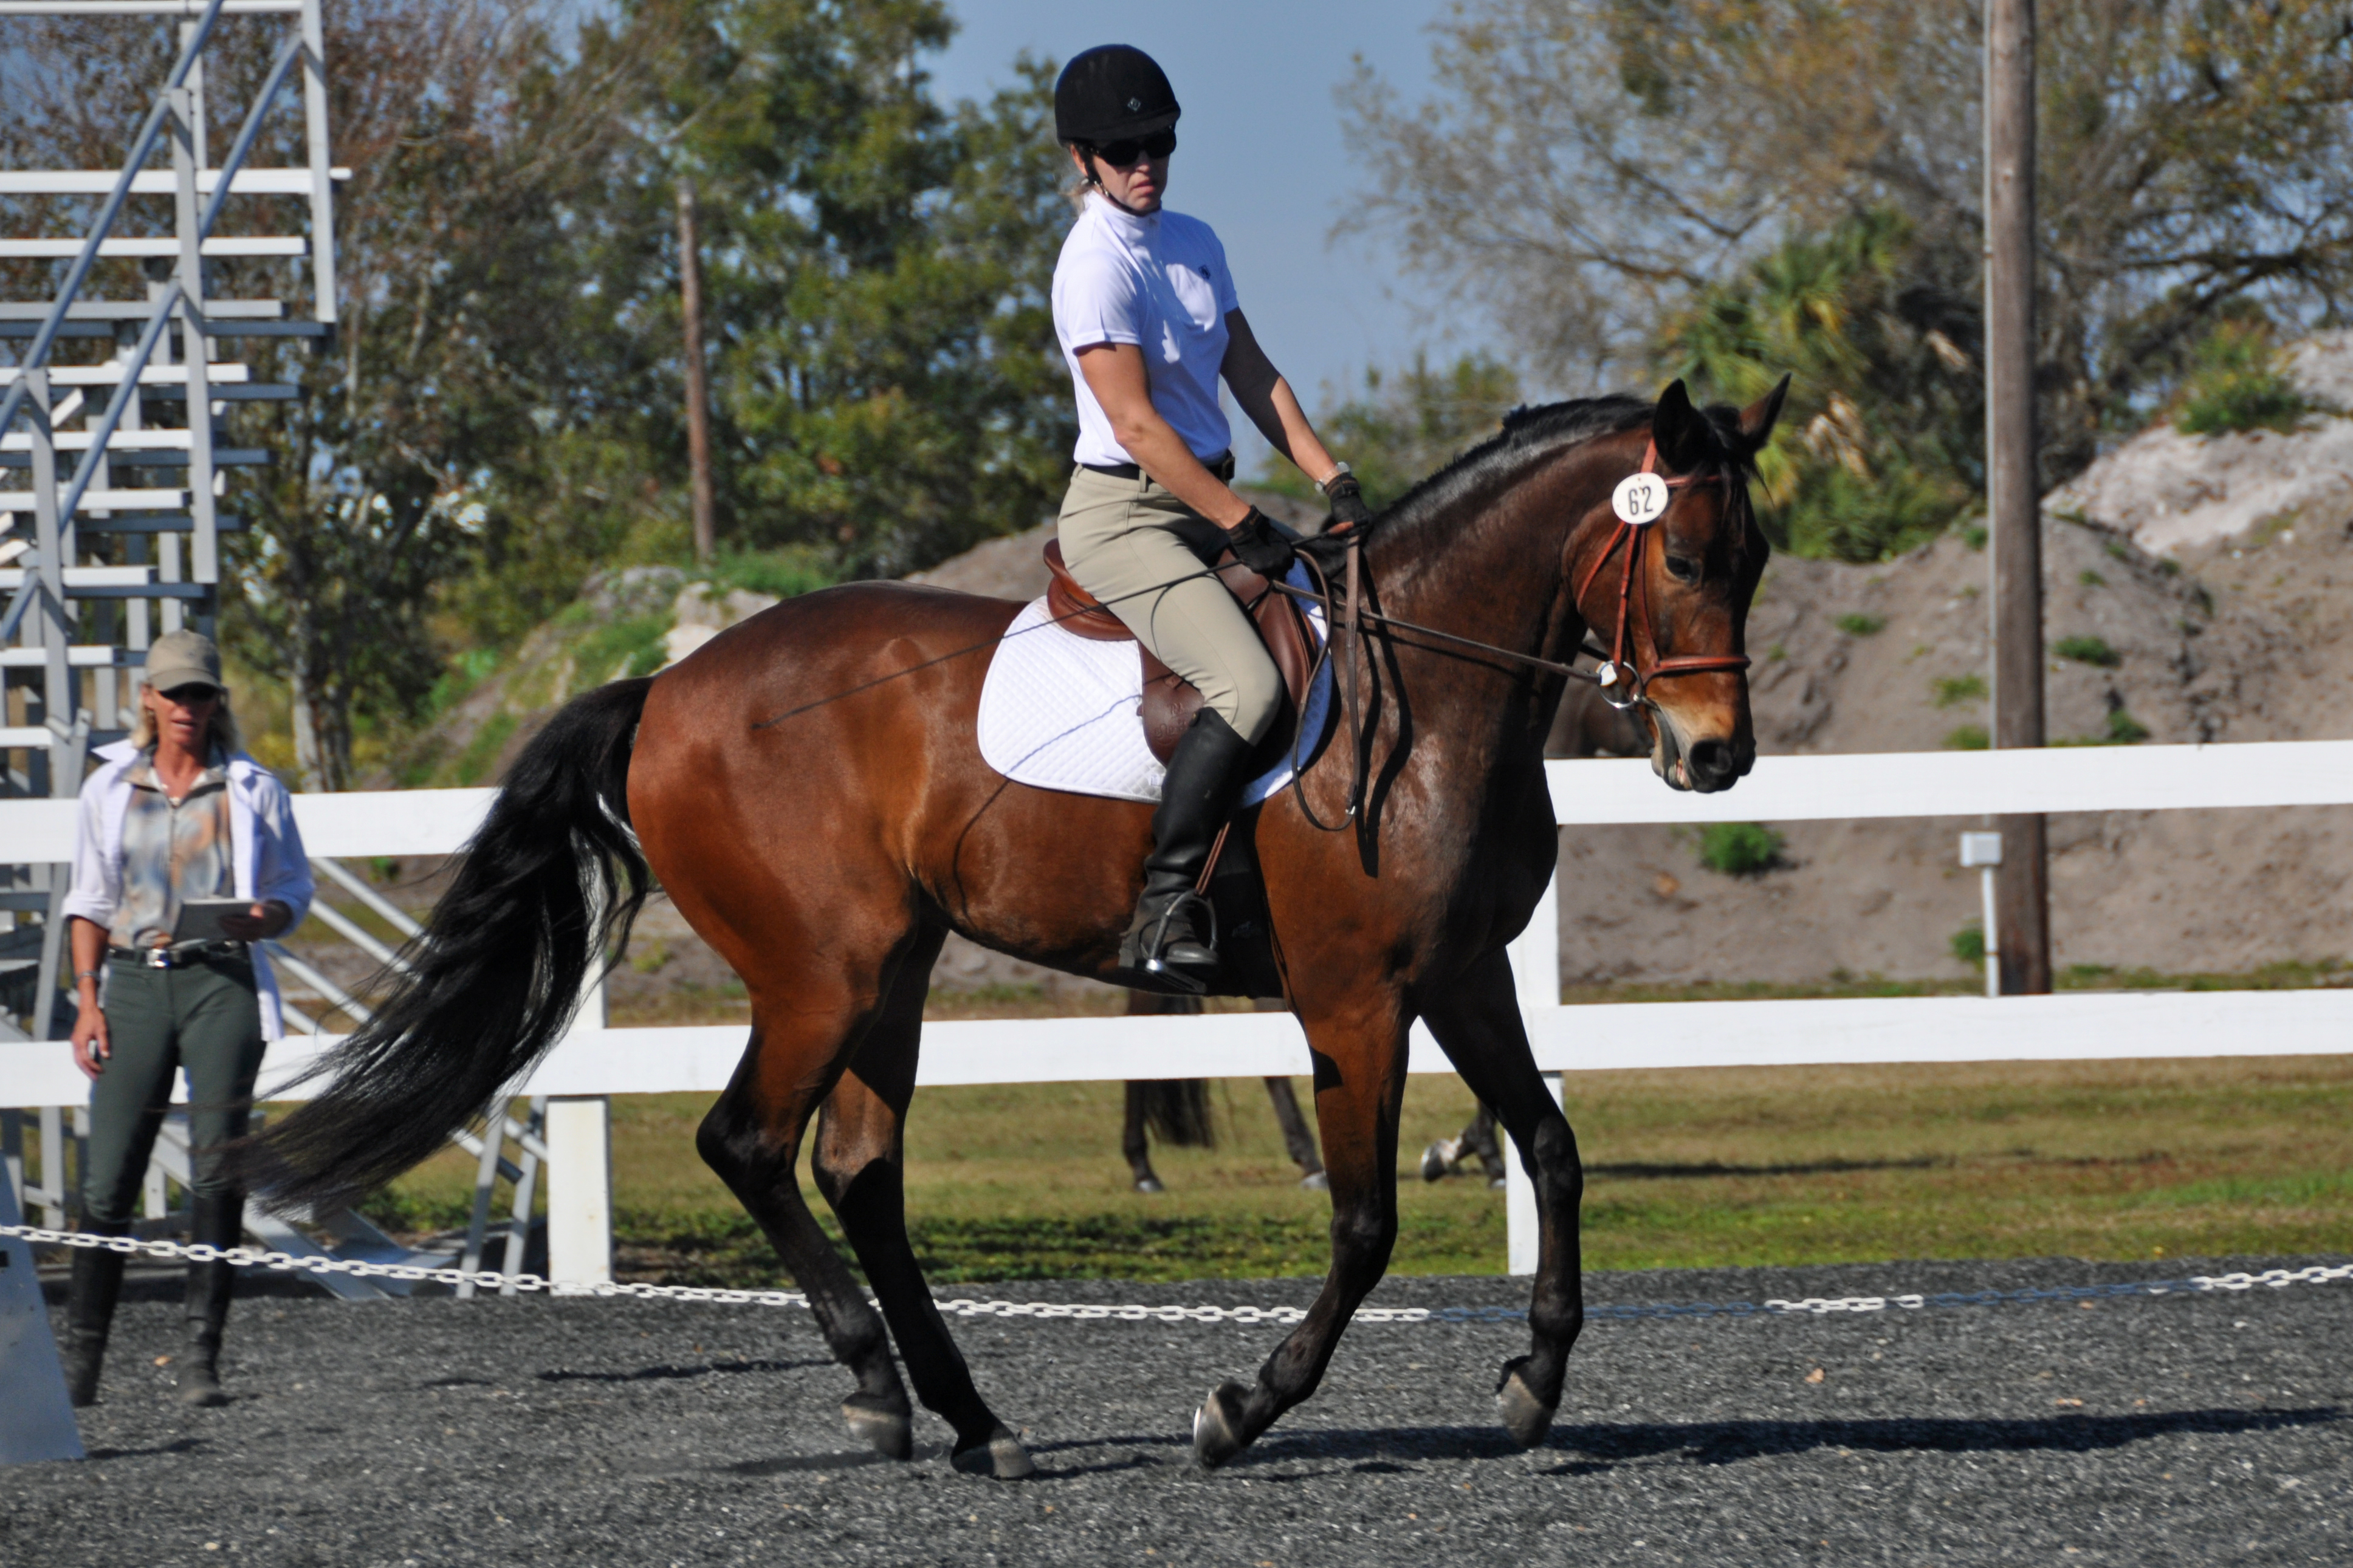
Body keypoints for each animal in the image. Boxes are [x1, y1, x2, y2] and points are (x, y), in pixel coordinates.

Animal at [243, 374, 1779, 1476]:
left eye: (1756, 558)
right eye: (1686, 555)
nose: (1715, 759)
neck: (1433, 686)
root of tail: (668, 690)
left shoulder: (1460, 975)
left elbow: (1557, 1153)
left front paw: (1534, 1383)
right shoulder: (1355, 997)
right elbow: (1363, 1222)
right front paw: (1243, 1403)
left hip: (895, 971)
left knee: (857, 1166)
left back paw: (971, 1420)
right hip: (824, 969)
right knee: (750, 1143)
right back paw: (880, 1387)